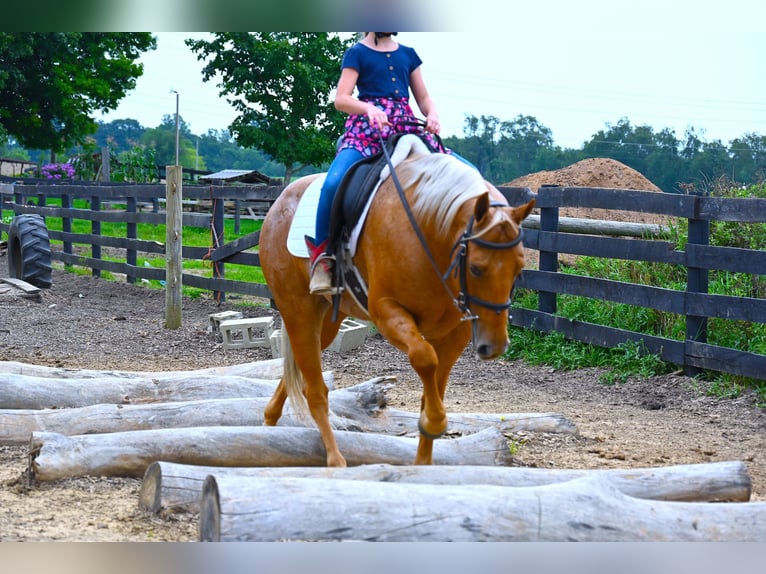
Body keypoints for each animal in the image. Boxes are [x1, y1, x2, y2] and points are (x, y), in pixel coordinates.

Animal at [258, 148, 536, 468]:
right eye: (476, 269)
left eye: (519, 268)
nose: (495, 346)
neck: (429, 233)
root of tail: (278, 204)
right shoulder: (387, 313)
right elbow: (424, 359)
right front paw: (435, 423)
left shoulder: (455, 333)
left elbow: (434, 388)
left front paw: (424, 459)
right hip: (297, 310)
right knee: (314, 390)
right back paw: (335, 459)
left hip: (326, 322)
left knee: (301, 367)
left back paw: (270, 419)